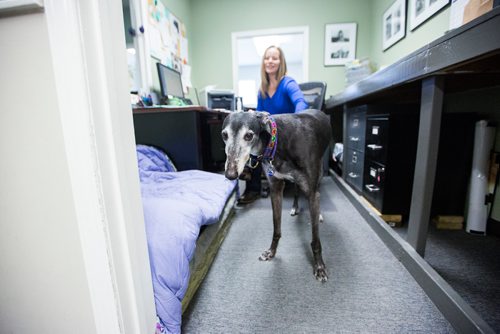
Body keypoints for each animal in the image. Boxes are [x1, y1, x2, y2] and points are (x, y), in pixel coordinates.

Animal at [222, 110, 332, 282]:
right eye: (224, 135)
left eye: (249, 135)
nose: (230, 174)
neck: (277, 141)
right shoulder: (275, 189)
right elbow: (276, 228)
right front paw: (271, 252)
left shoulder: (312, 192)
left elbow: (315, 241)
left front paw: (319, 267)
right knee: (296, 189)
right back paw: (294, 207)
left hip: (319, 172)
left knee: (316, 189)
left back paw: (318, 214)